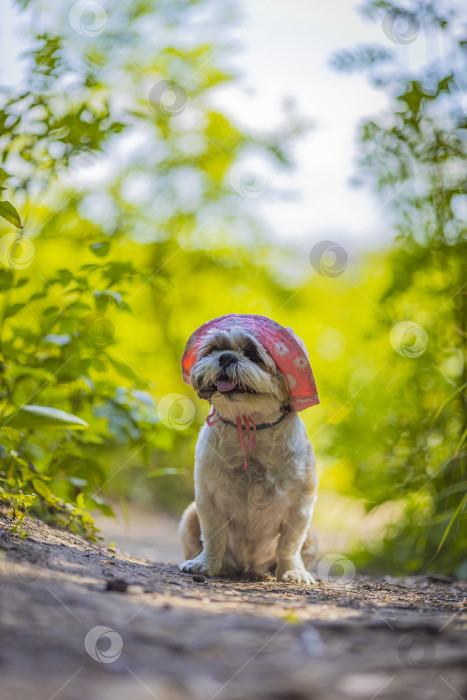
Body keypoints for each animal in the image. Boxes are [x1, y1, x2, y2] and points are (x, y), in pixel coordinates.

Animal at [177, 314, 320, 584]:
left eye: (253, 354)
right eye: (215, 349)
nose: (226, 357)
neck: (249, 425)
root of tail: (248, 566)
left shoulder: (301, 506)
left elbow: (288, 545)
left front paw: (292, 571)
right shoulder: (208, 499)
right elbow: (212, 535)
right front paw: (206, 564)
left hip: (312, 537)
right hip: (189, 516)